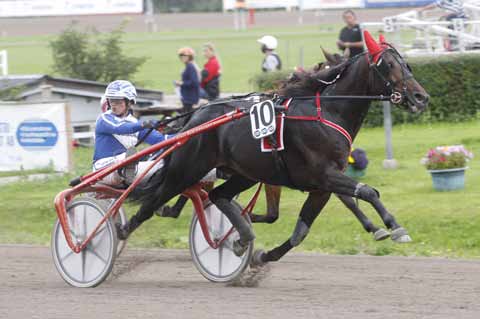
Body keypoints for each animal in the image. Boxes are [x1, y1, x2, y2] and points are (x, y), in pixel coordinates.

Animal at [122, 31, 430, 264]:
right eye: (388, 65)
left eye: (407, 64)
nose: (421, 97)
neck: (327, 112)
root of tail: (195, 117)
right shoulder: (322, 175)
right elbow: (367, 191)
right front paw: (393, 226)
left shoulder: (320, 185)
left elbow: (302, 230)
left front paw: (263, 256)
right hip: (188, 168)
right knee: (154, 202)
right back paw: (122, 231)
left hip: (243, 173)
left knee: (217, 195)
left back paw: (241, 235)